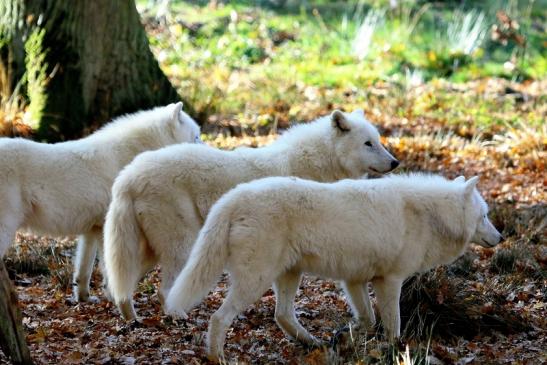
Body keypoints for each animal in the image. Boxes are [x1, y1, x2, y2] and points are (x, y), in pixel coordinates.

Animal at [0, 101, 201, 300]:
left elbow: (84, 269)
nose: (207, 148)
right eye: (197, 136)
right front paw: (114, 298)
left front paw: (84, 298)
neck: (127, 155)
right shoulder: (107, 227)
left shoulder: (92, 230)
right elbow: (109, 268)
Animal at [105, 109, 400, 318]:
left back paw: (131, 319)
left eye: (378, 141)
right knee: (163, 289)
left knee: (121, 284)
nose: (395, 162)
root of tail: (128, 176)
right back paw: (178, 315)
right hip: (183, 245)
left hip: (148, 249)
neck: (320, 161)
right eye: (368, 144)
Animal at [167, 173, 506, 362]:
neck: (429, 215)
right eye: (485, 216)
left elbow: (367, 320)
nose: (501, 237)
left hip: (289, 276)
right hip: (256, 281)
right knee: (219, 318)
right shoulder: (390, 281)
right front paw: (395, 352)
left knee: (282, 316)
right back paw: (218, 357)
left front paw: (343, 336)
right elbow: (392, 326)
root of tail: (232, 198)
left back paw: (313, 344)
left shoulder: (354, 281)